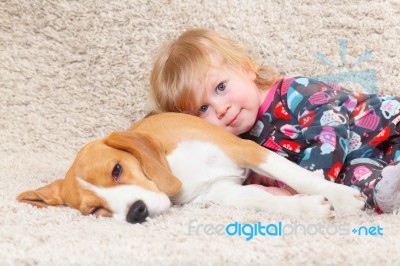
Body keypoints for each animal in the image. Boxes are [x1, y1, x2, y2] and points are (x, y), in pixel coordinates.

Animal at [16, 112, 366, 222]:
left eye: (117, 169)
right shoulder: (221, 193)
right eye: (94, 211)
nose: (136, 212)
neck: (174, 169)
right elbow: (261, 200)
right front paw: (306, 208)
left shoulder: (244, 150)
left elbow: (297, 175)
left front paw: (340, 197)